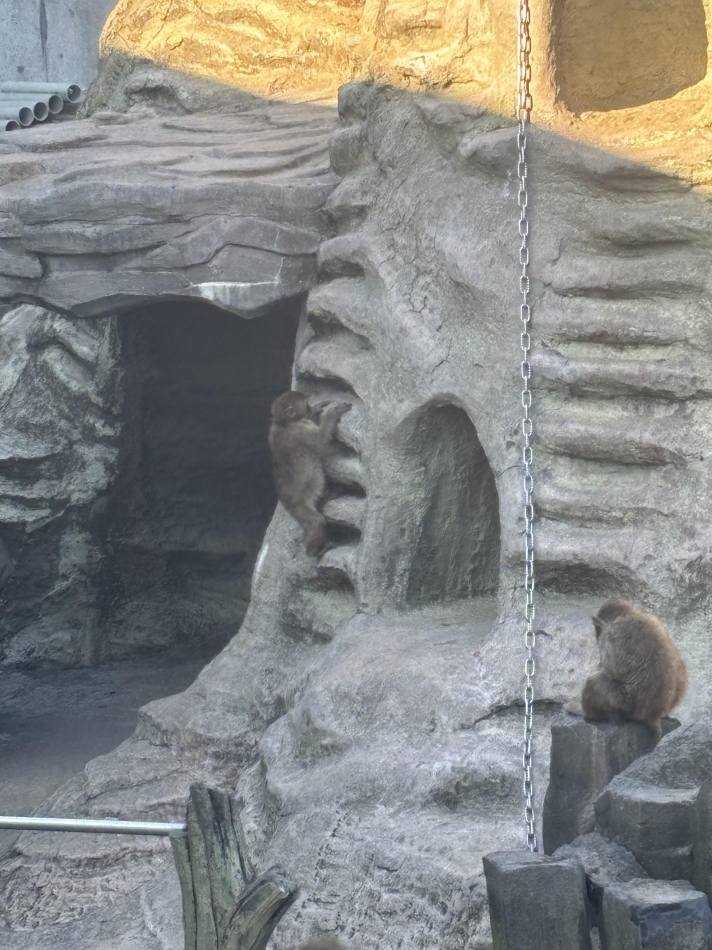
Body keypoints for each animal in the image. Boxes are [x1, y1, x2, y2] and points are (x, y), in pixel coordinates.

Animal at [268, 390, 351, 557]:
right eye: (305, 404)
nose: (309, 407)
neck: (283, 423)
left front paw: (318, 407)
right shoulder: (300, 430)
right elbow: (321, 440)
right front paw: (334, 411)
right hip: (300, 506)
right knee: (316, 522)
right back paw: (314, 551)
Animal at [564, 598, 688, 741]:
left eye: (598, 629)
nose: (596, 636)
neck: (629, 615)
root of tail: (653, 714)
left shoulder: (610, 635)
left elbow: (610, 669)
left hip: (625, 706)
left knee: (594, 682)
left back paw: (587, 713)